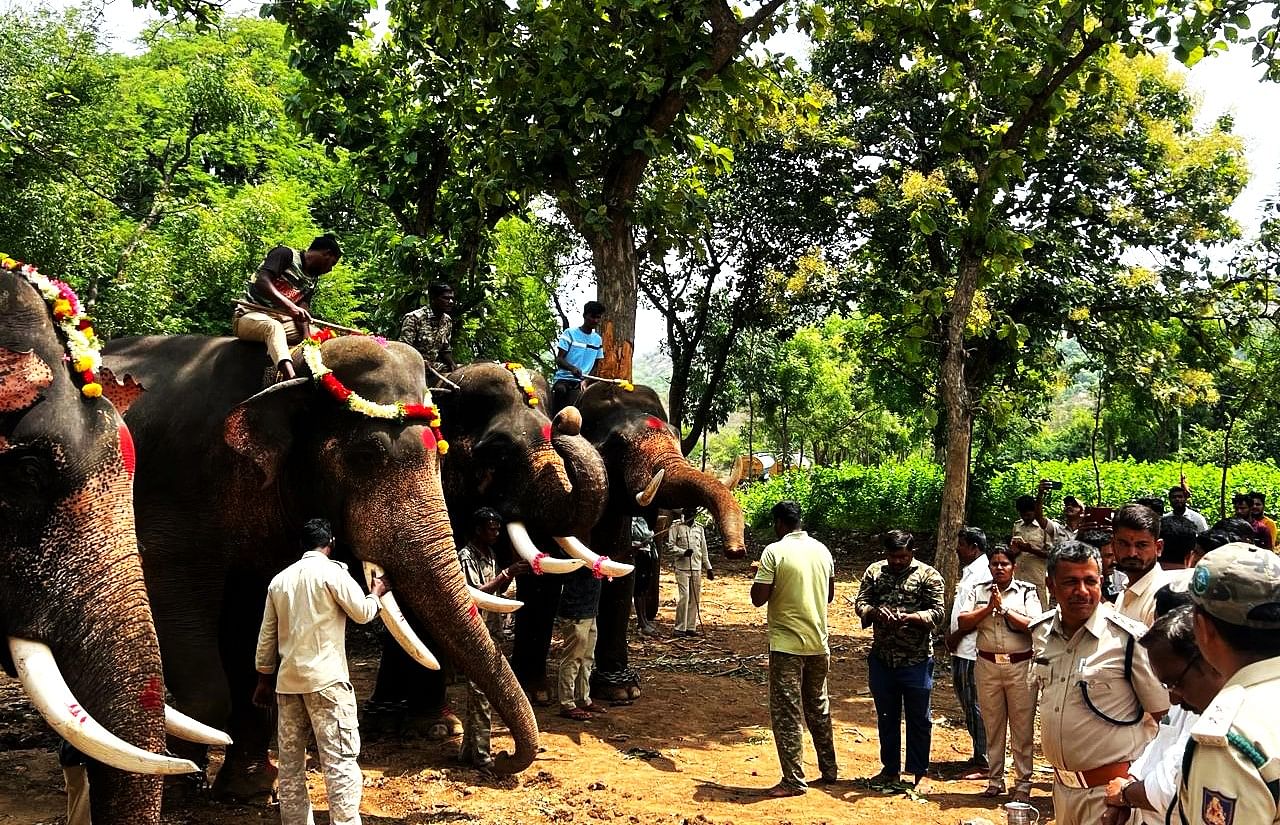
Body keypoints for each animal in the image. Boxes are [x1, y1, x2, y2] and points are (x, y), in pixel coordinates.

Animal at [101, 332, 540, 793]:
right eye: (365, 456)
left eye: (440, 457)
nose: (504, 760)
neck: (289, 368)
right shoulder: (176, 492)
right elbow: (176, 604)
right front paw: (183, 777)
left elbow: (255, 631)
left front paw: (248, 789)